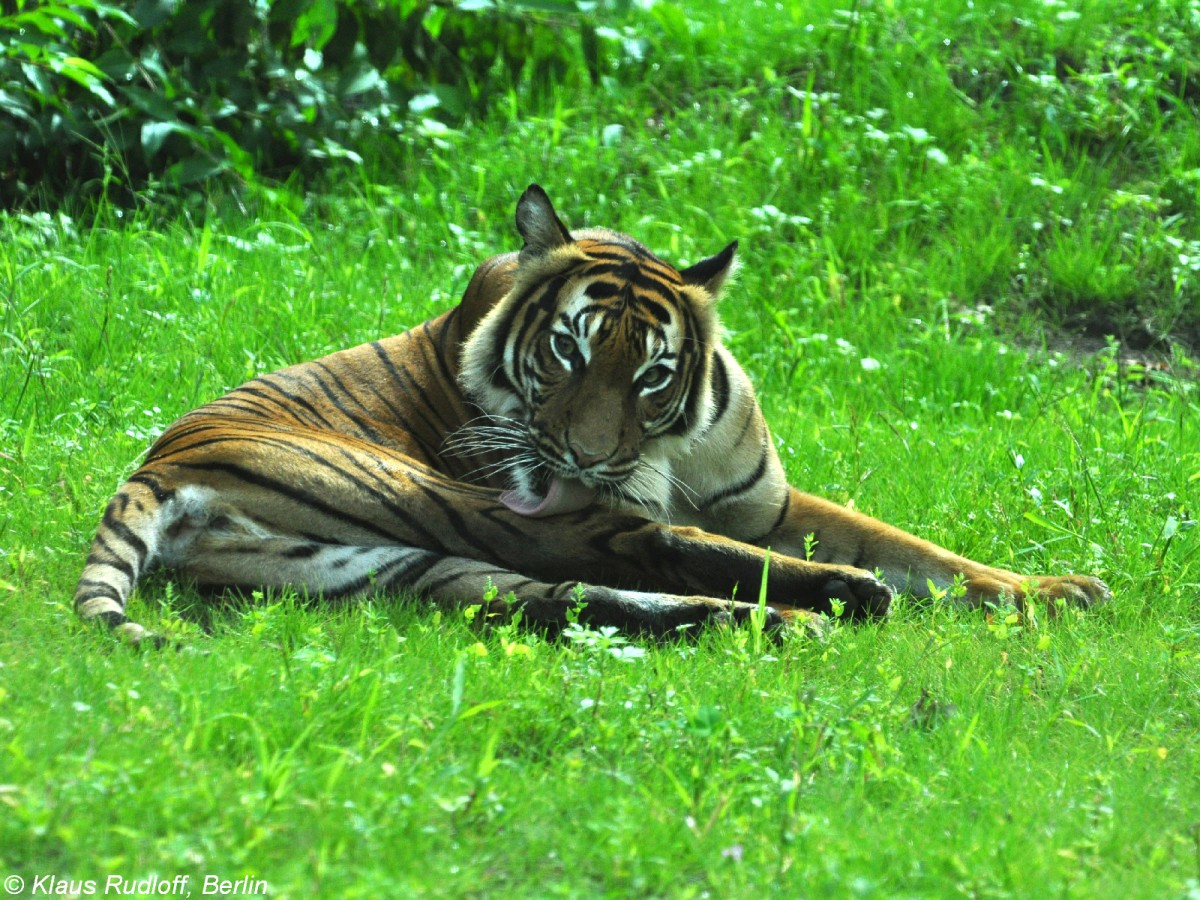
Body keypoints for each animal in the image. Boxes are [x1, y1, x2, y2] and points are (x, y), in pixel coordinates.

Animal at [72, 184, 1104, 643]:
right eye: (567, 350)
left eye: (652, 374)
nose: (591, 458)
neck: (674, 451)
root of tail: (156, 467)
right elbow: (730, 541)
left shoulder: (768, 504)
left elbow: (921, 550)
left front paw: (1055, 591)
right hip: (449, 502)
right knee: (657, 551)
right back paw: (838, 603)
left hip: (405, 565)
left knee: (581, 598)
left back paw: (791, 623)